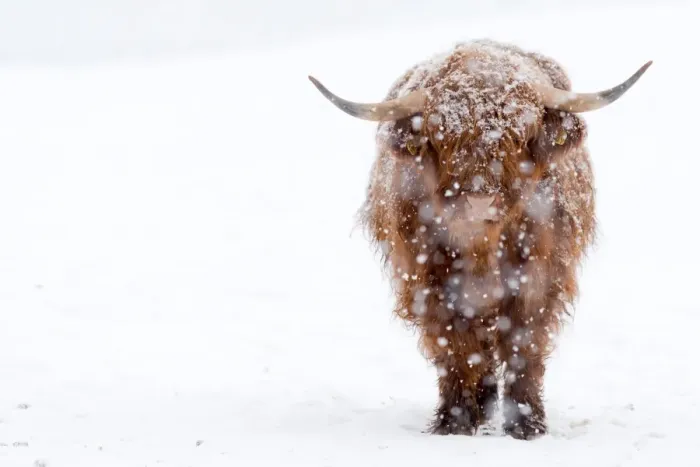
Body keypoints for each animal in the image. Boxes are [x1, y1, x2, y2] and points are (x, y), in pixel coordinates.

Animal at [309, 39, 651, 440]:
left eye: (520, 132)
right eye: (443, 134)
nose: (479, 200)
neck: (482, 246)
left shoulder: (539, 276)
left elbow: (524, 341)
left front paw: (526, 424)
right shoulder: (428, 281)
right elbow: (454, 347)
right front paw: (453, 421)